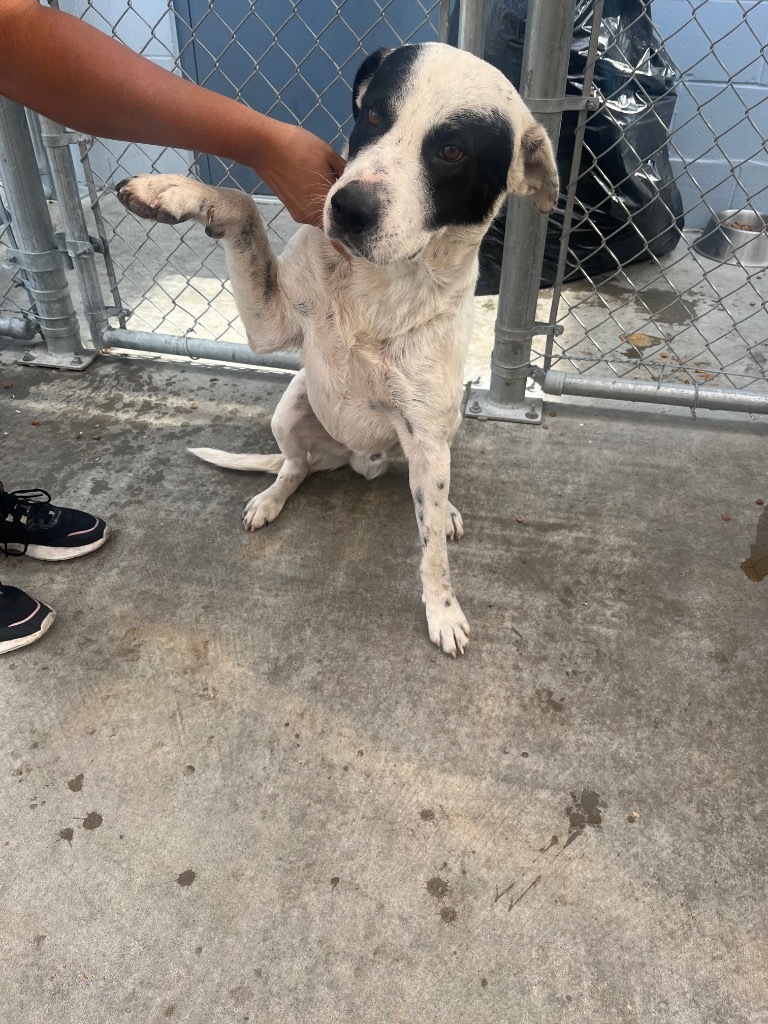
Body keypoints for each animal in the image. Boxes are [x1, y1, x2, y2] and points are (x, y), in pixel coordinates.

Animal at [117, 41, 557, 655]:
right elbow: (242, 206)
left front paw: (442, 610)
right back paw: (271, 498)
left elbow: (433, 556)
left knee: (426, 495)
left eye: (451, 151)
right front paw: (175, 191)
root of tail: (356, 459)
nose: (349, 208)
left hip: (439, 433)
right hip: (290, 410)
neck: (380, 283)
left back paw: (444, 511)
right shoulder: (270, 324)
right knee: (294, 467)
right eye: (372, 115)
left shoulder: (427, 436)